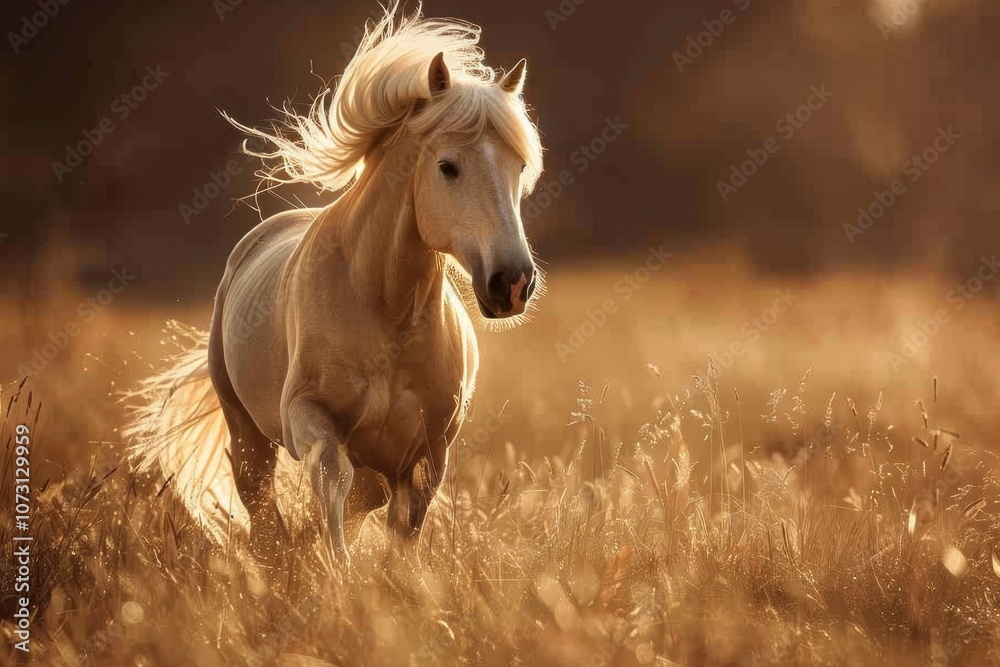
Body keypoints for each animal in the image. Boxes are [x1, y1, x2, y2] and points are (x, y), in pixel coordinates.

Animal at [123, 2, 544, 565]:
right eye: (448, 166)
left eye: (520, 166)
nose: (512, 283)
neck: (385, 307)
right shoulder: (311, 420)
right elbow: (331, 483)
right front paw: (337, 570)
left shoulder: (429, 452)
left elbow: (402, 526)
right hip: (247, 432)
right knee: (261, 505)